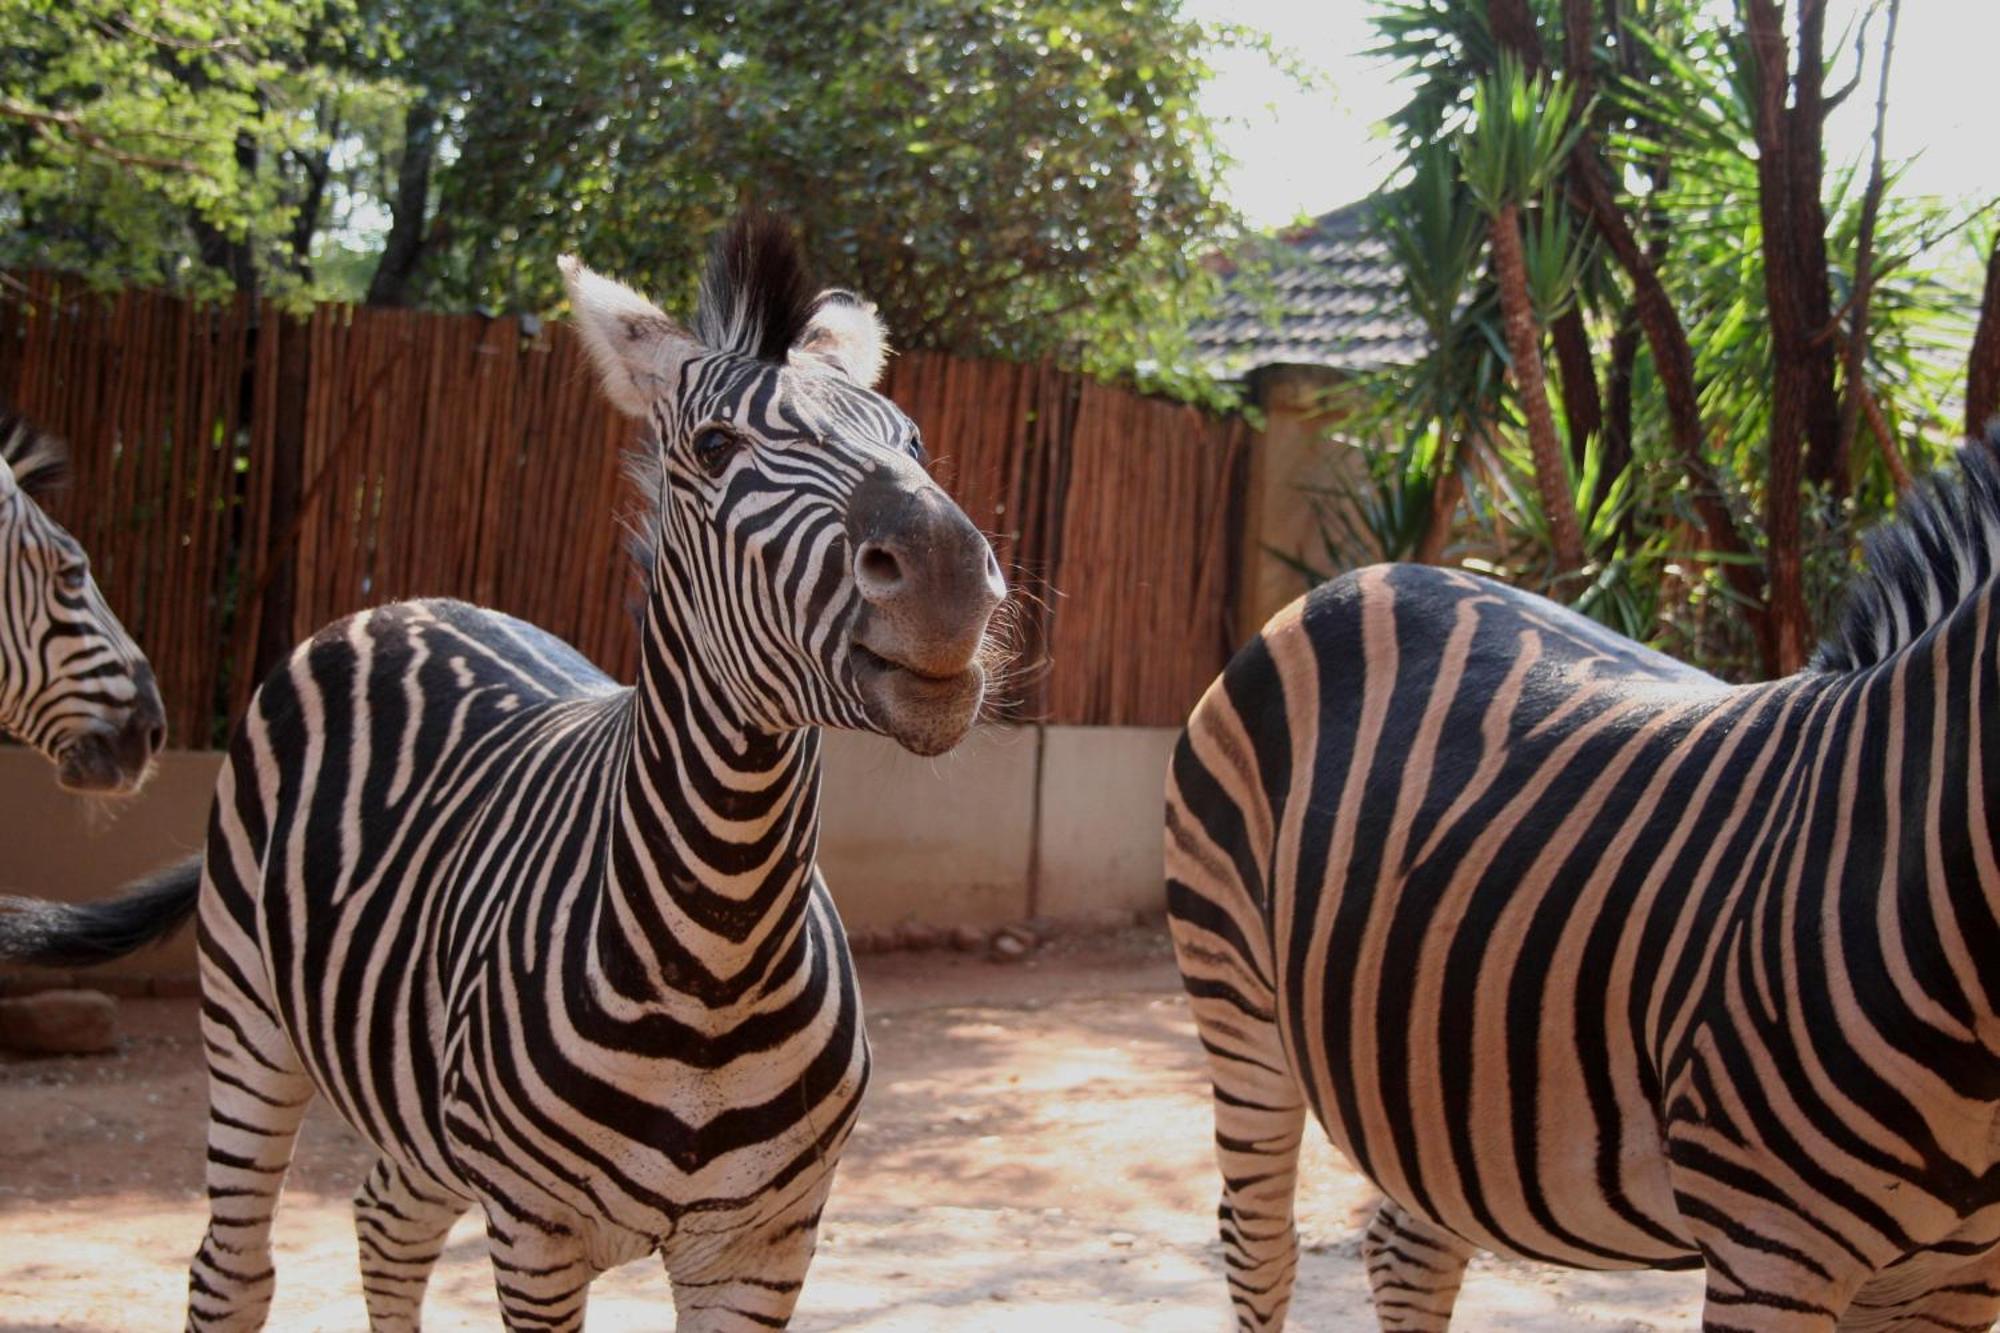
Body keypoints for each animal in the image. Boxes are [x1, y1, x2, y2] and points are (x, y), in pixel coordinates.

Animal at [1168, 428, 2000, 1328]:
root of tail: (1367, 576)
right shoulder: (1770, 1247)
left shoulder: (1962, 1272)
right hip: (1236, 998)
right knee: (1260, 1243)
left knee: (1408, 1251)